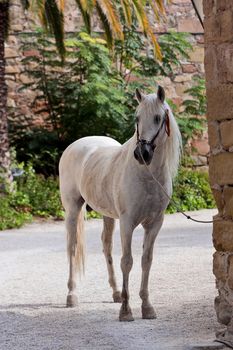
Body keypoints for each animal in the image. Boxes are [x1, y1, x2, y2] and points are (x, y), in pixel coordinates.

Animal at [58, 86, 182, 322]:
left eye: (158, 117)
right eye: (136, 117)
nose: (142, 154)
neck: (147, 176)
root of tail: (75, 145)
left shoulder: (155, 224)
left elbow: (146, 260)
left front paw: (147, 307)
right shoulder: (128, 222)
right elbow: (127, 261)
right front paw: (126, 311)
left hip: (107, 215)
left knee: (106, 247)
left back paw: (115, 292)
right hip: (72, 209)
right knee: (72, 247)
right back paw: (71, 295)